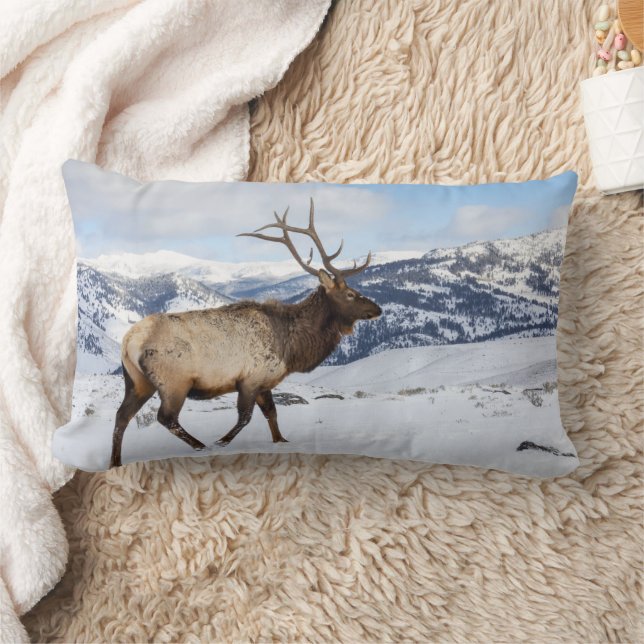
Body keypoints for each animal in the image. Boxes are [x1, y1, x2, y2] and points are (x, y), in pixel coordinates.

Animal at [109, 199, 382, 468]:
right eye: (350, 294)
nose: (377, 308)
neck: (291, 347)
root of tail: (129, 341)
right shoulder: (250, 379)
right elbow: (245, 417)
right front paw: (221, 442)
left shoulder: (264, 382)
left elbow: (272, 413)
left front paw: (281, 441)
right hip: (174, 381)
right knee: (165, 417)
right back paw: (200, 445)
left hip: (137, 381)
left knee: (122, 416)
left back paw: (115, 462)